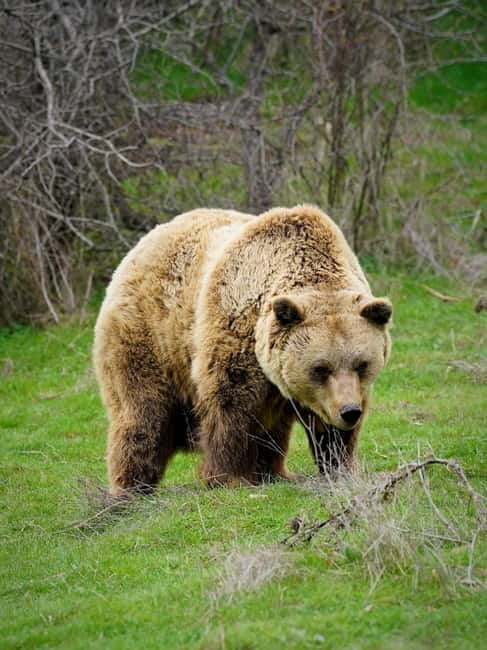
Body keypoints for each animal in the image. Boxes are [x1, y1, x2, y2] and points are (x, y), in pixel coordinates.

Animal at [93, 205, 392, 496]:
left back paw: (274, 472)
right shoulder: (235, 336)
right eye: (320, 368)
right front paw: (229, 478)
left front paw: (341, 467)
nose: (349, 411)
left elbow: (329, 429)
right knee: (144, 412)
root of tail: (142, 244)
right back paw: (133, 486)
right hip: (151, 337)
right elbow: (232, 410)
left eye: (362, 364)